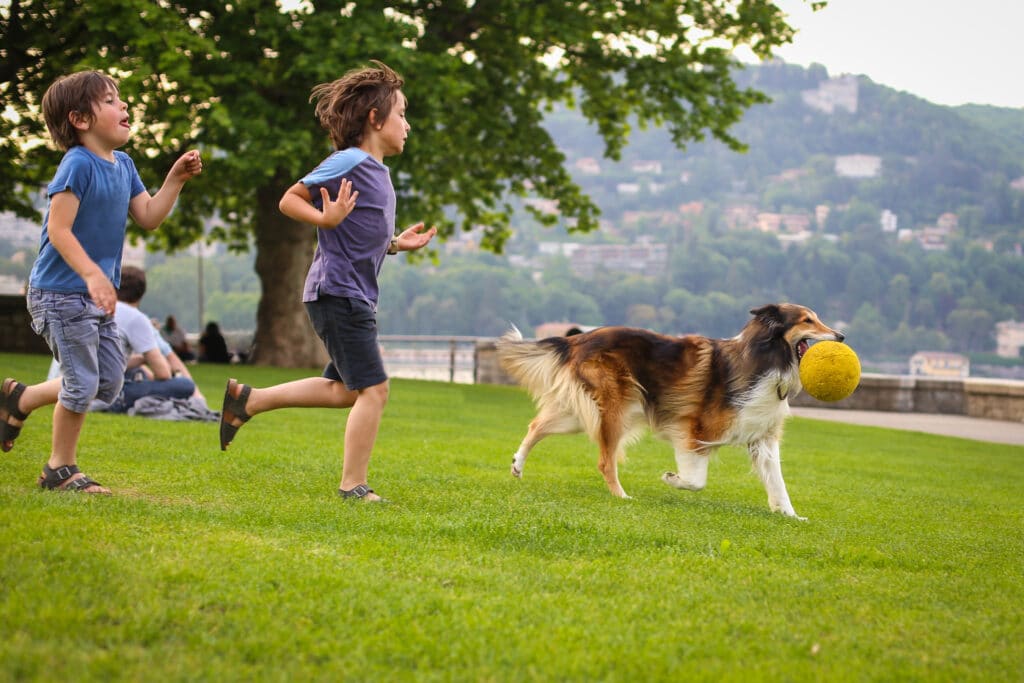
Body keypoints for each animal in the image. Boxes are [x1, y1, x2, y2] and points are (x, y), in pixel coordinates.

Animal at [493, 301, 839, 520]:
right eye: (807, 320)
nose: (841, 336)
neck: (765, 359)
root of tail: (579, 338)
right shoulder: (696, 431)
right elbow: (696, 480)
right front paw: (672, 478)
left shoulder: (763, 439)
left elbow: (778, 482)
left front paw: (791, 515)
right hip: (616, 410)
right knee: (605, 461)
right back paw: (621, 496)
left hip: (585, 412)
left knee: (536, 425)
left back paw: (517, 465)